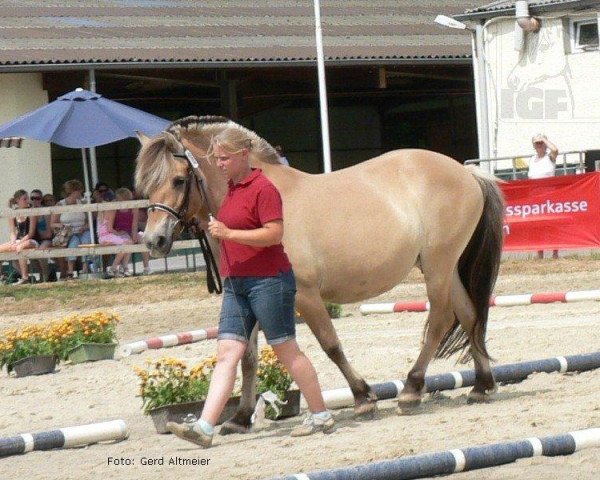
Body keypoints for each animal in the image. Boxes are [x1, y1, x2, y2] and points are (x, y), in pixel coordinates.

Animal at [134, 116, 504, 436]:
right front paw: (239, 418)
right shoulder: (247, 293)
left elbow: (330, 344)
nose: (154, 241)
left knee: (441, 319)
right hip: (443, 266)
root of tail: (466, 172)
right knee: (468, 314)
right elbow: (247, 357)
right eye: (145, 185)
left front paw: (363, 398)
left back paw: (412, 390)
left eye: (179, 180)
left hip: (438, 266)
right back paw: (482, 386)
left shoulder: (304, 295)